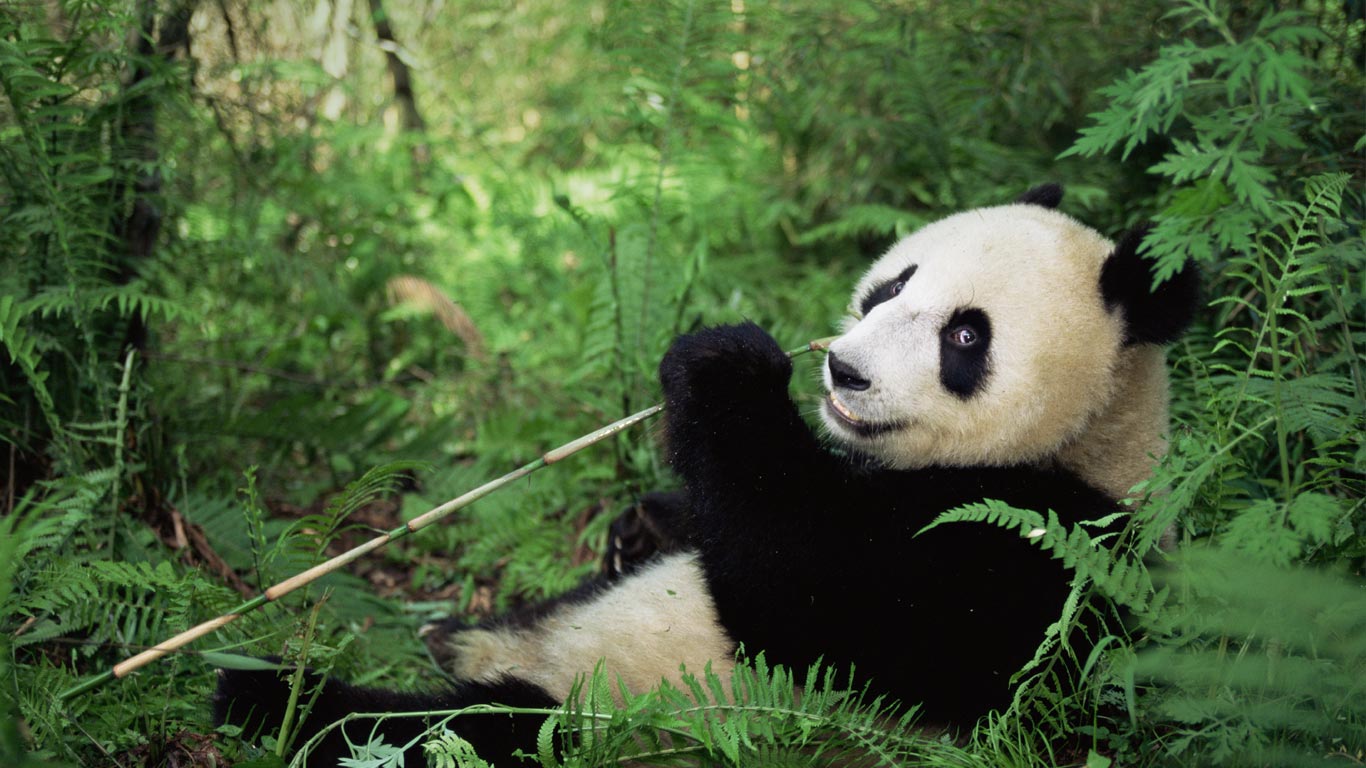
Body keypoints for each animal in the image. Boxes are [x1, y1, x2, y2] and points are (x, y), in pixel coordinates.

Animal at [215, 184, 1200, 765]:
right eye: (892, 287)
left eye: (965, 335)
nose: (843, 371)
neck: (1090, 440)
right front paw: (644, 523)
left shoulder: (1041, 553)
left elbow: (813, 601)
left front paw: (724, 366)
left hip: (611, 725)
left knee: (460, 734)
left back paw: (274, 698)